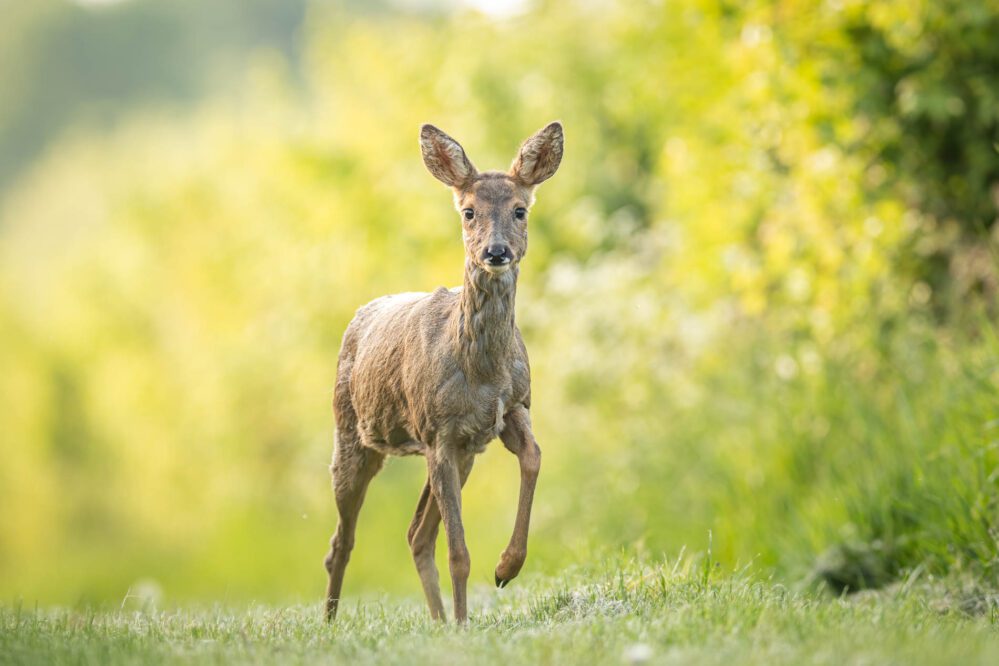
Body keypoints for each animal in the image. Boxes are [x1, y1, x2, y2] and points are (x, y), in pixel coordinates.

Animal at [326, 120, 568, 624]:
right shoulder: (439, 430)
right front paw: (465, 621)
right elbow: (459, 552)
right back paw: (331, 622)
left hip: (458, 454)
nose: (496, 252)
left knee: (416, 533)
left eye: (520, 210)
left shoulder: (509, 410)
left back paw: (436, 620)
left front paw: (506, 568)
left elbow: (534, 457)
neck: (482, 370)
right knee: (342, 540)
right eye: (469, 212)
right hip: (353, 434)